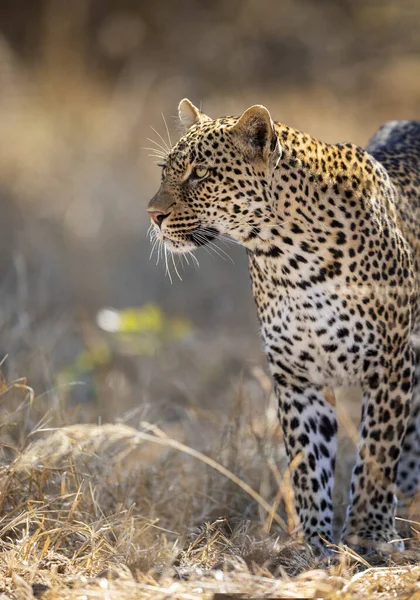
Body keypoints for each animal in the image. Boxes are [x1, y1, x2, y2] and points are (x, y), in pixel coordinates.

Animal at [148, 97, 420, 552]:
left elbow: (376, 454)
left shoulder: (392, 363)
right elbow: (308, 464)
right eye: (163, 170)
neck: (288, 257)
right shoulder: (296, 375)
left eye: (200, 173)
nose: (153, 214)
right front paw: (315, 544)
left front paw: (368, 536)